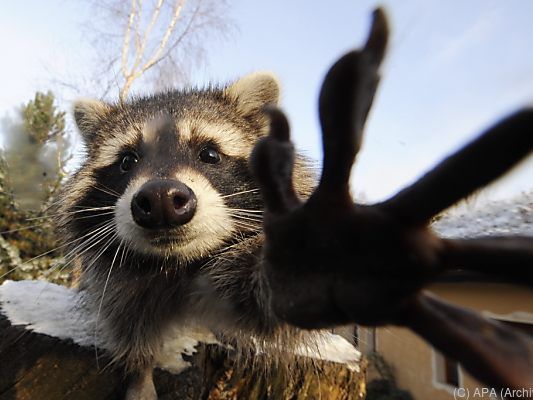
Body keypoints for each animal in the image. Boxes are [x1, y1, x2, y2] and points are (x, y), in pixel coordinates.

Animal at [57, 73, 316, 398]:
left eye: (210, 154)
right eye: (127, 161)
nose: (161, 200)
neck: (178, 263)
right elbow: (127, 323)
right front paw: (139, 371)